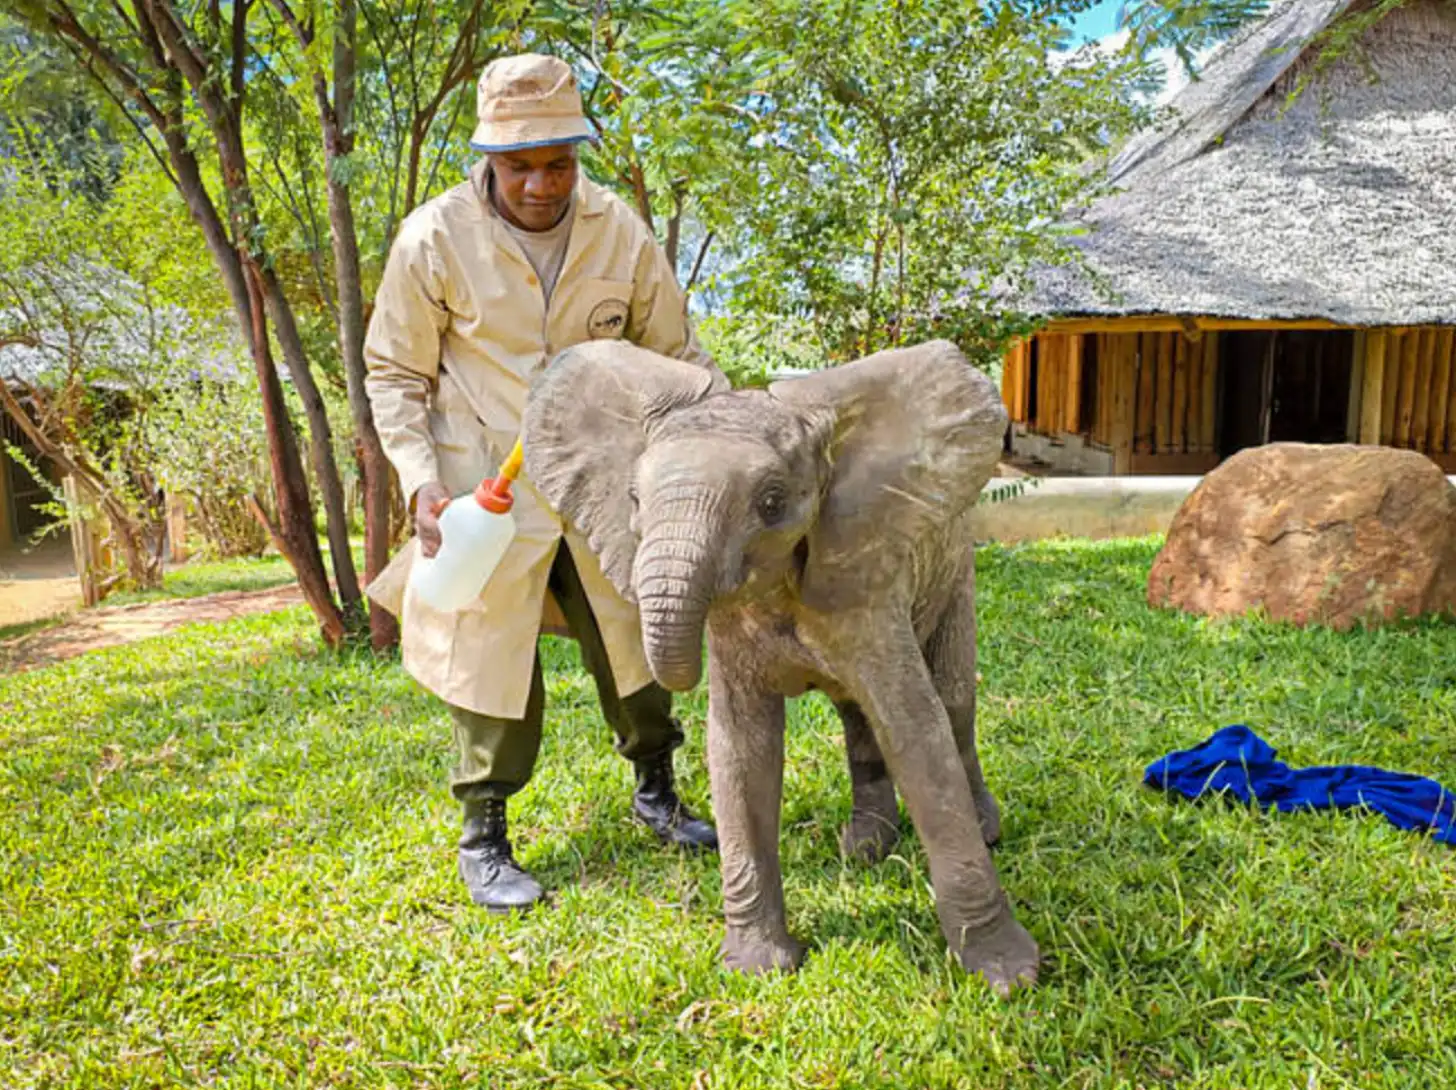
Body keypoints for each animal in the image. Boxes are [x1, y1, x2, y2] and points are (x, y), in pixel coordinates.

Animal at [520, 337, 1039, 995]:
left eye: (771, 504)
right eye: (634, 501)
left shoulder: (864, 579)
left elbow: (918, 731)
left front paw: (1010, 978)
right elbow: (740, 750)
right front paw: (758, 969)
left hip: (954, 568)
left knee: (952, 703)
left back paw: (982, 829)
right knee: (857, 716)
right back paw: (866, 850)